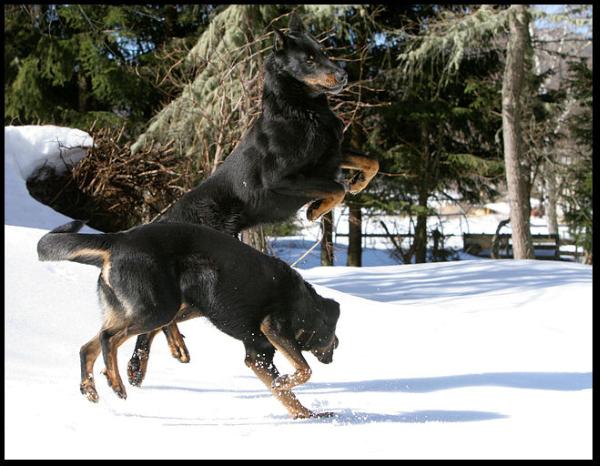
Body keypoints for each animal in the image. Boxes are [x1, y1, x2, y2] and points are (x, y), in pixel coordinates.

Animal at [37, 220, 340, 420]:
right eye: (334, 343)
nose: (333, 357)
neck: (309, 307)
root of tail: (119, 239)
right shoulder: (272, 328)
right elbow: (304, 370)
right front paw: (290, 386)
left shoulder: (257, 356)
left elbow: (287, 395)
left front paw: (306, 413)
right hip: (159, 306)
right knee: (107, 338)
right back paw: (117, 383)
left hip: (174, 303)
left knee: (88, 347)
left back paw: (91, 387)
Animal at [126, 11, 378, 386]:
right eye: (309, 59)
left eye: (323, 51)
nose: (345, 75)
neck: (301, 110)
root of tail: (166, 220)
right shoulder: (281, 179)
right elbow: (336, 189)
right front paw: (315, 211)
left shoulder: (330, 155)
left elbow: (370, 163)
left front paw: (359, 184)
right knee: (158, 321)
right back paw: (153, 359)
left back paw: (166, 354)